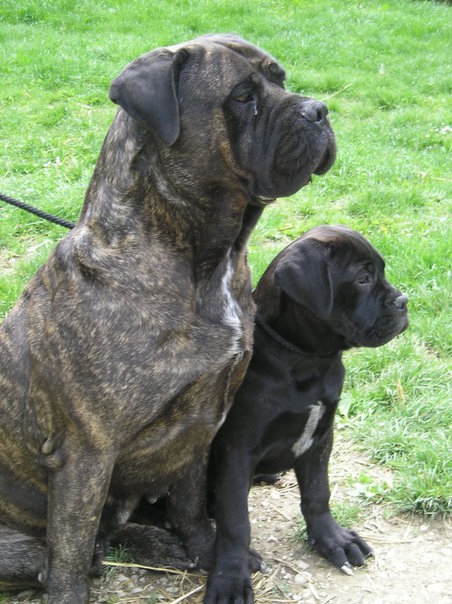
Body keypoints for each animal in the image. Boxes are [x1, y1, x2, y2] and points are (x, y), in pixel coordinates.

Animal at [0, 35, 335, 603]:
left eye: (281, 80)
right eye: (242, 96)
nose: (319, 110)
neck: (202, 262)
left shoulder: (204, 418)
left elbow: (191, 500)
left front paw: (207, 552)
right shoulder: (86, 452)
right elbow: (70, 547)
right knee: (65, 553)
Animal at [205, 225, 408, 603]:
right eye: (362, 278)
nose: (404, 301)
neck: (308, 359)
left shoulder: (321, 435)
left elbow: (318, 494)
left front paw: (333, 540)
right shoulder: (236, 449)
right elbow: (235, 519)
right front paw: (230, 577)